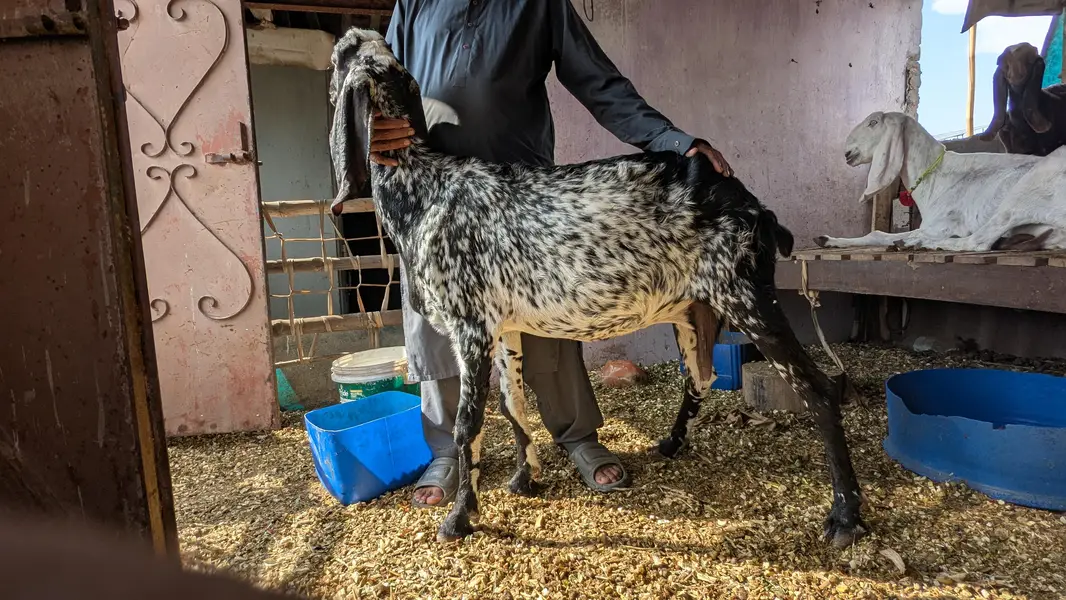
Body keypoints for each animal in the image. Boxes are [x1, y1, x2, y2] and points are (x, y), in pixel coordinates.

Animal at [815, 111, 1066, 252]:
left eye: (873, 122)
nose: (847, 152)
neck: (935, 176)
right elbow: (880, 234)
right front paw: (827, 239)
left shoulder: (944, 224)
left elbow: (884, 234)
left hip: (1026, 191)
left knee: (978, 242)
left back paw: (919, 245)